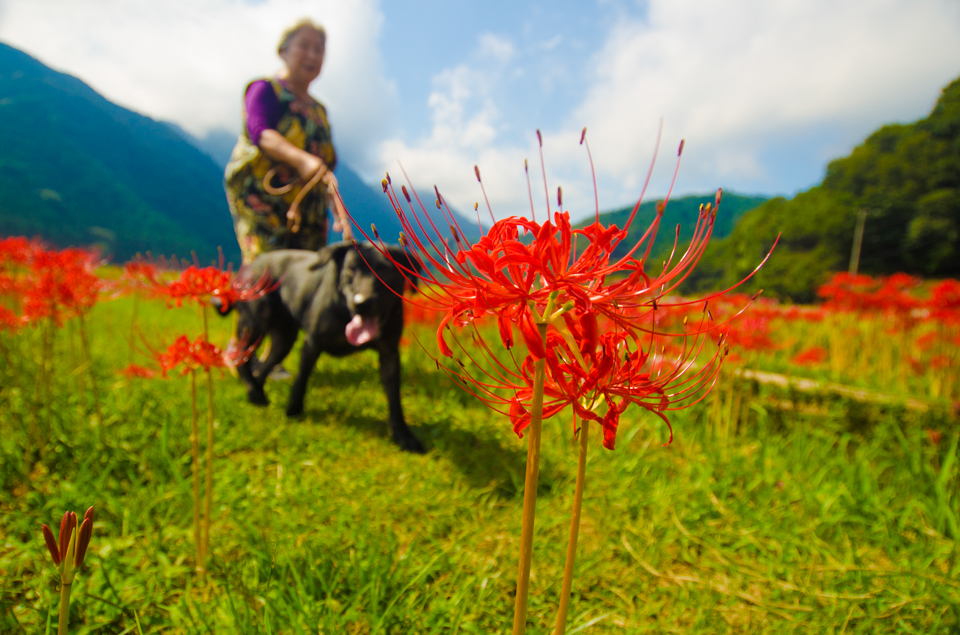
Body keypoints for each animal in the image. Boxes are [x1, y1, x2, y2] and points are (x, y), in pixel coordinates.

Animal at [227, 241, 426, 454]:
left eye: (386, 271)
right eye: (351, 269)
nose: (362, 303)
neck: (346, 314)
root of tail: (251, 266)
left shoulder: (389, 354)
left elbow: (394, 398)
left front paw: (403, 436)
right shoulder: (312, 343)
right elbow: (301, 379)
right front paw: (293, 410)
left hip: (283, 340)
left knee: (264, 366)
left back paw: (257, 394)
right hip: (254, 324)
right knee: (240, 357)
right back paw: (253, 390)